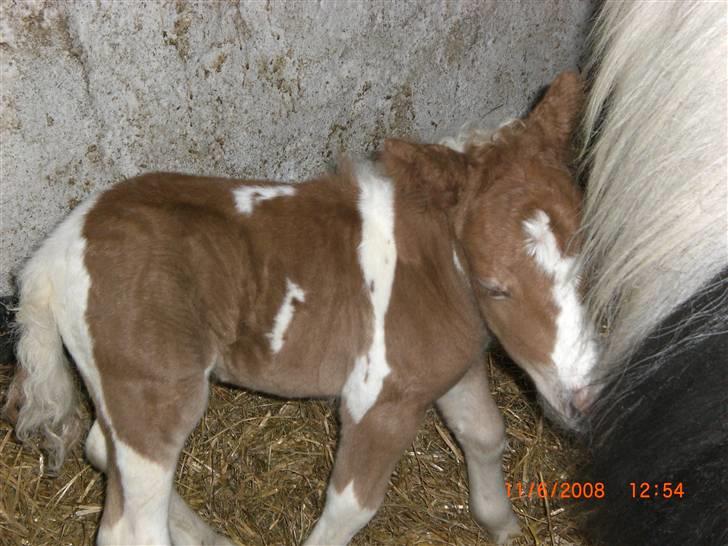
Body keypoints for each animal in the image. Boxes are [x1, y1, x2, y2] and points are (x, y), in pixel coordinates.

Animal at [7, 73, 596, 544]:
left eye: (589, 252)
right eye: (496, 287)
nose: (584, 401)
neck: (433, 267)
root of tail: (54, 251)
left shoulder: (454, 369)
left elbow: (485, 434)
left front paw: (503, 525)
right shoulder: (378, 401)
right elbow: (351, 507)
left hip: (126, 391)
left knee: (100, 450)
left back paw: (210, 536)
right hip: (155, 390)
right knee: (131, 525)